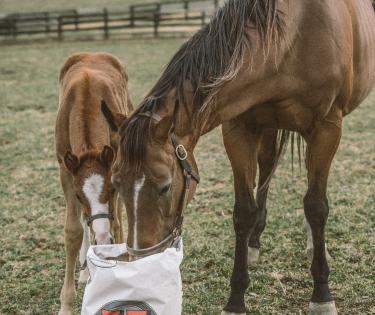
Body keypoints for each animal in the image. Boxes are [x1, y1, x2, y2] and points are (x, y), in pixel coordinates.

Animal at [55, 52, 133, 315]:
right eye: (80, 196)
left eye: (111, 189)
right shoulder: (66, 171)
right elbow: (73, 231)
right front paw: (66, 304)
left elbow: (117, 224)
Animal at [103, 1, 375, 314]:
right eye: (116, 183)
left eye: (165, 186)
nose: (140, 259)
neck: (295, 34)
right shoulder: (238, 129)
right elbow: (244, 212)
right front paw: (235, 300)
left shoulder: (327, 129)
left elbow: (317, 207)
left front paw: (322, 294)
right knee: (268, 168)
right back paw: (255, 243)